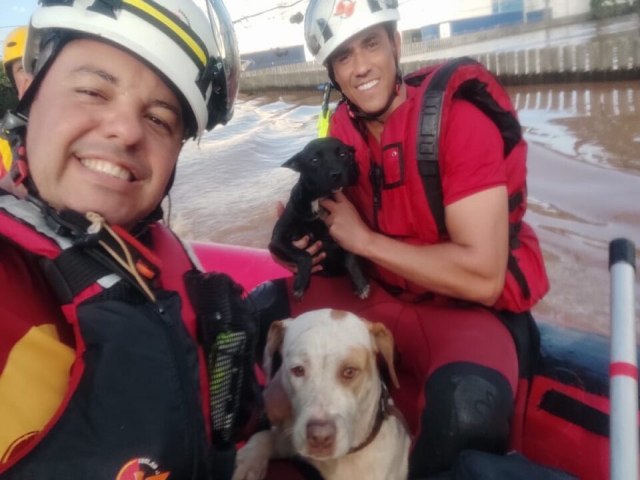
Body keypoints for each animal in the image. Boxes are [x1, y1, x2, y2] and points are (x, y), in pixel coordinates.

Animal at [232, 310, 408, 480]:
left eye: (349, 371)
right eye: (298, 370)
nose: (320, 437)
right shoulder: (291, 442)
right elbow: (264, 436)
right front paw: (246, 462)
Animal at [270, 137, 370, 298]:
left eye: (343, 154)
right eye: (314, 160)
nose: (336, 174)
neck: (319, 200)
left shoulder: (345, 236)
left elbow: (350, 257)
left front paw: (360, 283)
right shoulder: (277, 239)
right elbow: (304, 255)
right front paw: (301, 283)